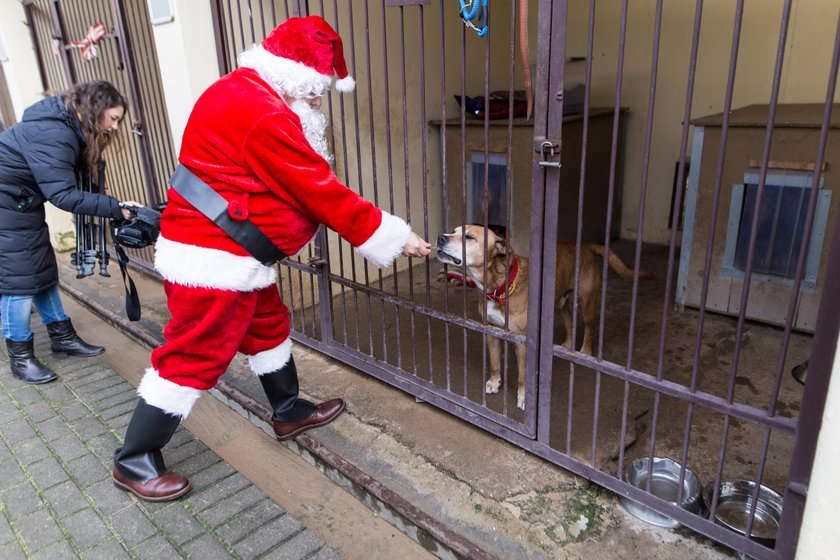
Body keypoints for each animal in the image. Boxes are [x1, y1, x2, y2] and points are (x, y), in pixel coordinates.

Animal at [436, 224, 652, 412]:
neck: (499, 287)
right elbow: (495, 362)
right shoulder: (491, 330)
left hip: (587, 302)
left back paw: (584, 351)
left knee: (590, 327)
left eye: (468, 237)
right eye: (453, 231)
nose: (440, 237)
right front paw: (494, 382)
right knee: (569, 320)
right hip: (558, 303)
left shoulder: (522, 343)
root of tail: (583, 245)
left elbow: (523, 376)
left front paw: (524, 398)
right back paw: (566, 345)